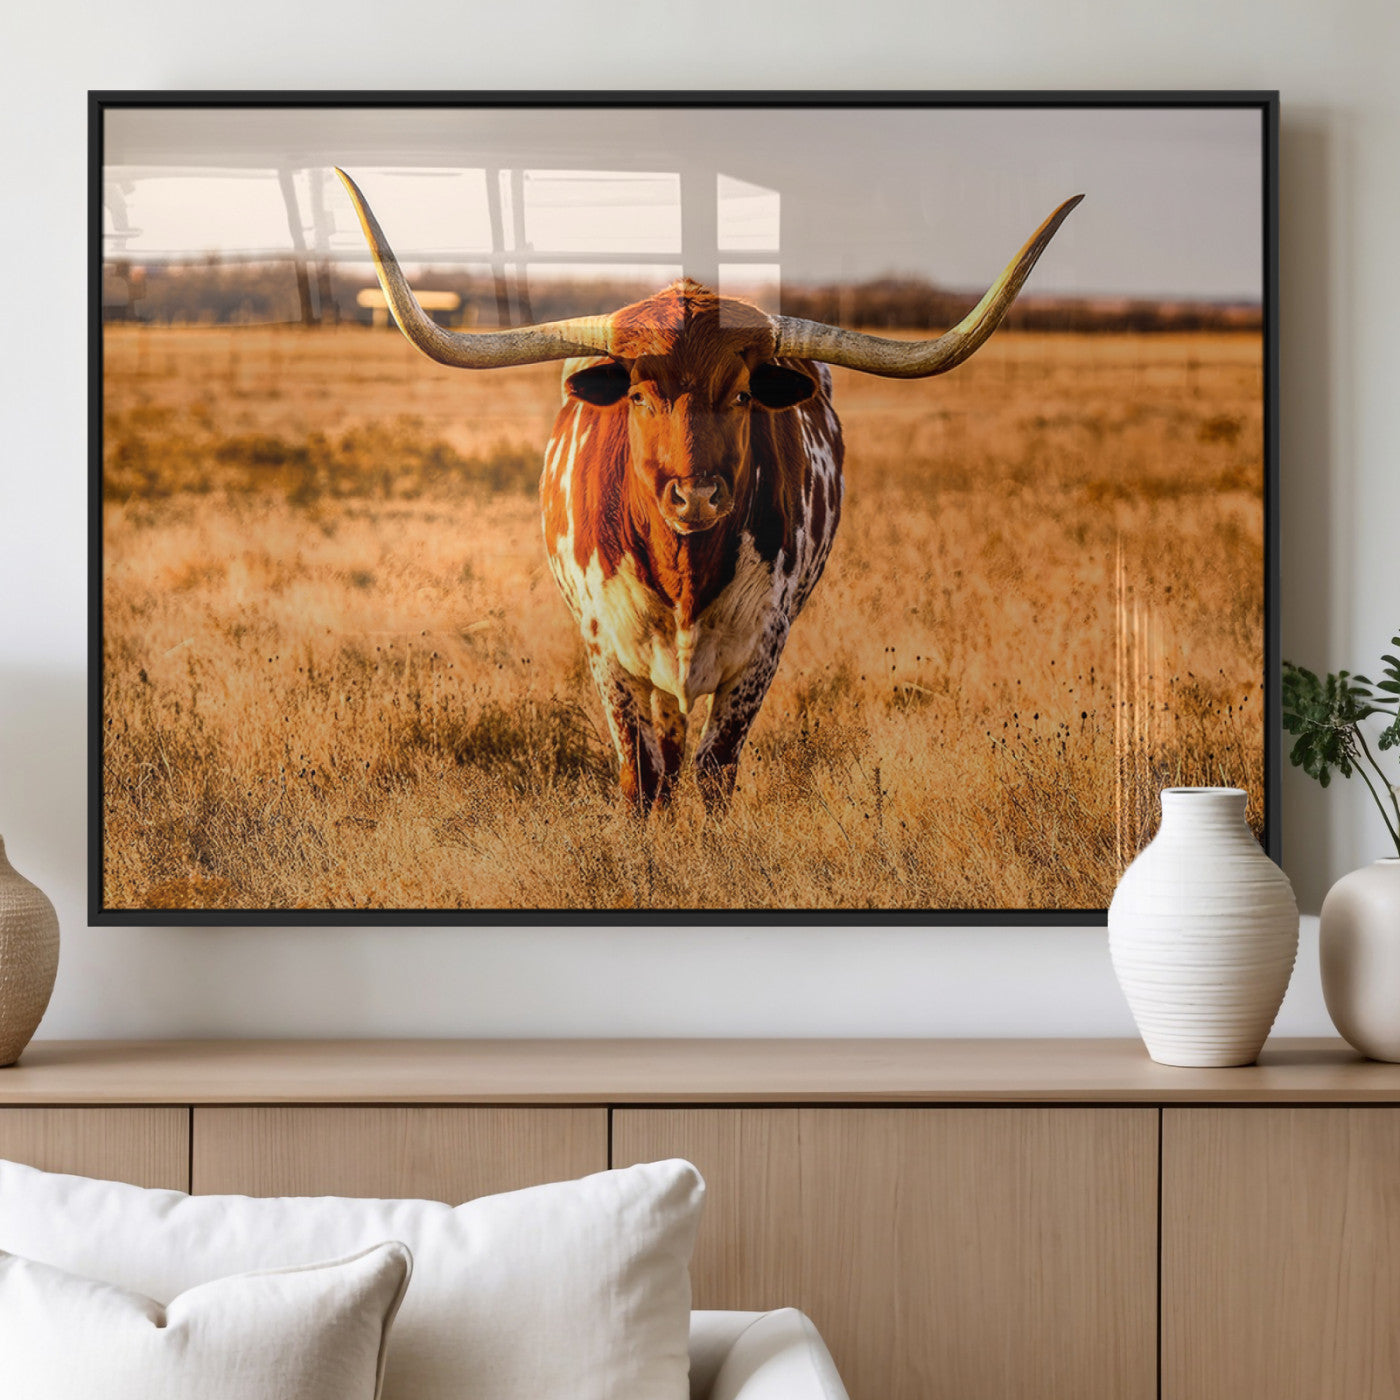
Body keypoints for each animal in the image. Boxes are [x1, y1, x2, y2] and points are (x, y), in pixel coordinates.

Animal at [336, 169, 1081, 812]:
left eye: (744, 395)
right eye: (639, 395)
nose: (695, 497)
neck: (685, 570)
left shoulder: (760, 650)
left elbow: (715, 769)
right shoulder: (608, 653)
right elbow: (642, 776)